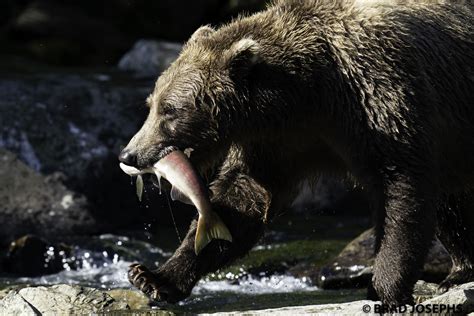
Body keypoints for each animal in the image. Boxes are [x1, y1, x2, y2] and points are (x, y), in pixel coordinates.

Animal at [119, 0, 474, 308]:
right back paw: (459, 271)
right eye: (151, 104)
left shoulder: (380, 98)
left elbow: (399, 191)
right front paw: (151, 277)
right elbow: (242, 200)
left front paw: (384, 289)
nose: (129, 155)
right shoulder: (279, 142)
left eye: (170, 111)